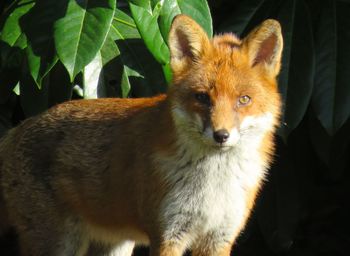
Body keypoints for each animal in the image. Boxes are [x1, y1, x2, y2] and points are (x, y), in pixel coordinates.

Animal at [0, 14, 282, 256]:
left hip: (115, 246)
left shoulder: (219, 238)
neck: (213, 184)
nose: (221, 135)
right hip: (60, 244)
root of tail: (18, 128)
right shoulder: (167, 235)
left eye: (243, 100)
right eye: (202, 97)